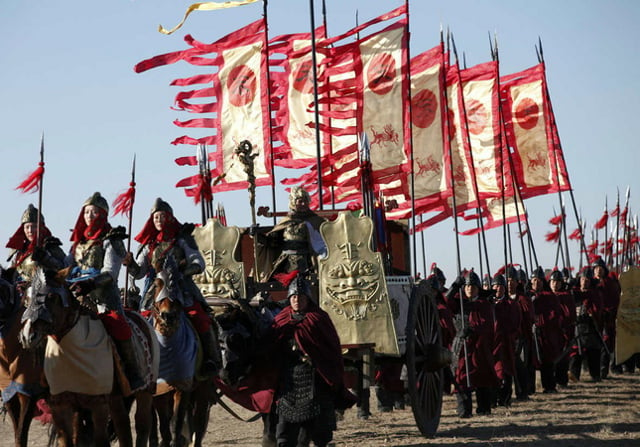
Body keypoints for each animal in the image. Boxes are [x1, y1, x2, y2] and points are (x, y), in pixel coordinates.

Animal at [20, 268, 160, 446]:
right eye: (27, 298)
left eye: (51, 296)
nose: (27, 336)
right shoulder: (61, 406)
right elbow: (69, 440)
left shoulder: (98, 405)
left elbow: (100, 440)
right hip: (115, 397)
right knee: (122, 425)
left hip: (146, 389)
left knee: (142, 424)